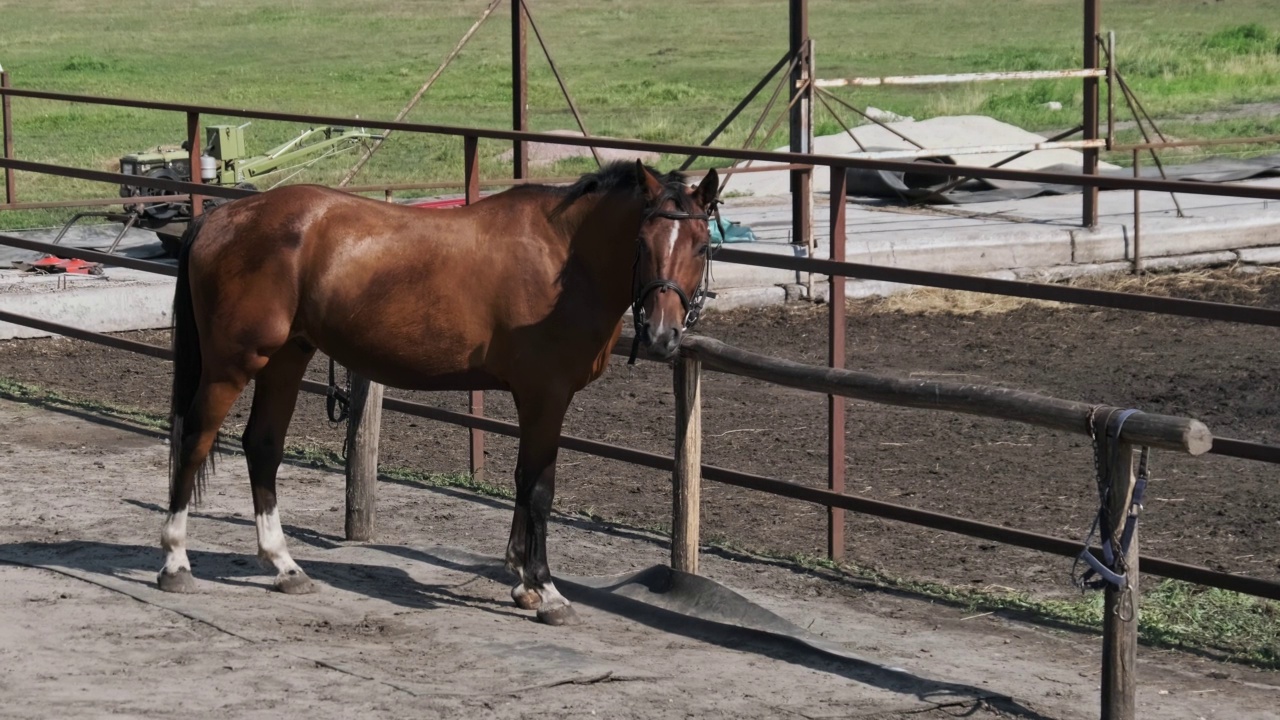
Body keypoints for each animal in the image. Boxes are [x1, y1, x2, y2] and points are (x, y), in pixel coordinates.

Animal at [157, 159, 721, 620]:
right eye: (642, 243)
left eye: (701, 246)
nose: (663, 335)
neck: (562, 256)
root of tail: (222, 218)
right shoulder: (546, 395)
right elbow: (539, 488)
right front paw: (546, 590)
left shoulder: (535, 399)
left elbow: (523, 483)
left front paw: (522, 582)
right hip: (232, 365)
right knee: (194, 441)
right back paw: (176, 562)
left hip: (285, 359)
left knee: (263, 446)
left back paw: (283, 565)